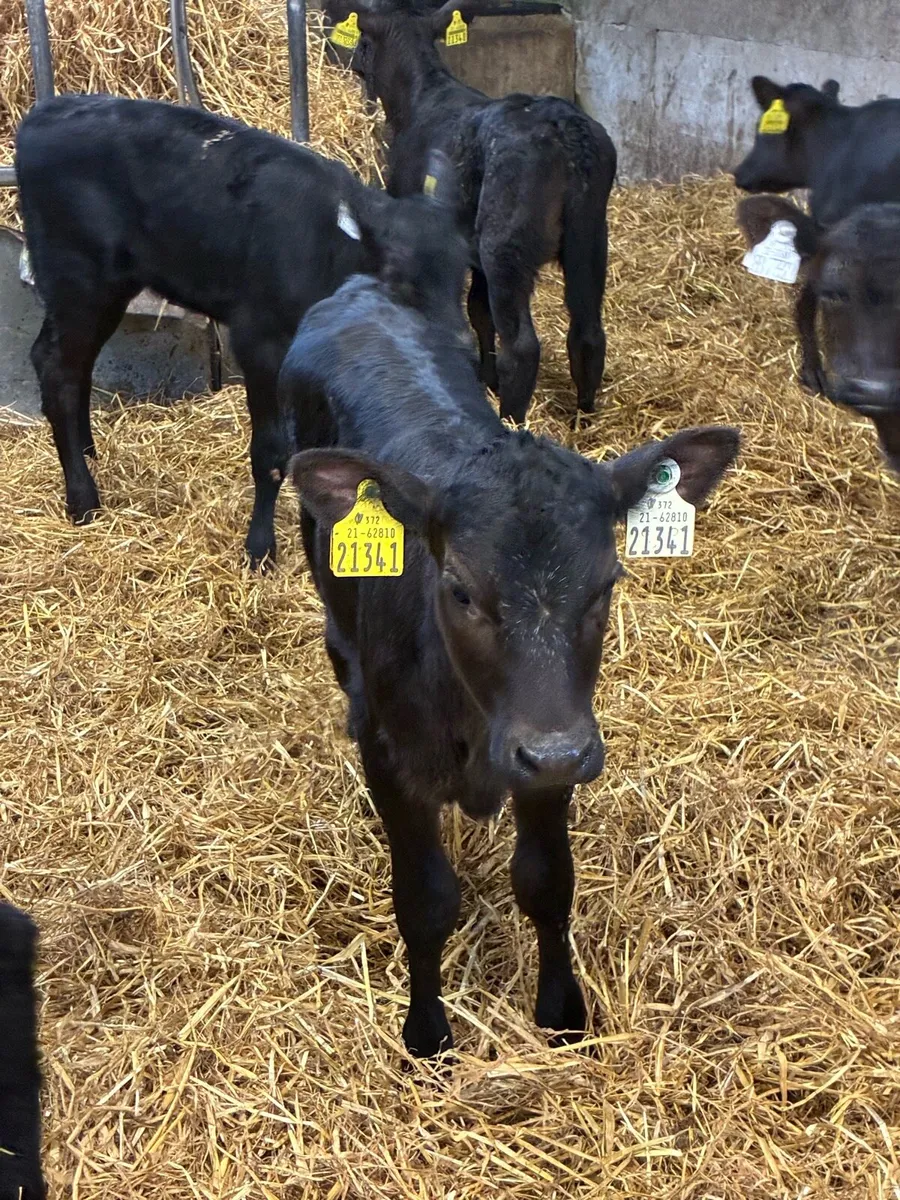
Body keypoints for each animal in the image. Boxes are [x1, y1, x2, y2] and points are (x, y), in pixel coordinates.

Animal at [15, 93, 429, 568]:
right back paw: (83, 500)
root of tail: (47, 111)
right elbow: (271, 450)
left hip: (110, 289)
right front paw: (260, 549)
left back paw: (88, 454)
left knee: (74, 367)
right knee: (56, 368)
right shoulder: (260, 340)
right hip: (78, 280)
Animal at [280, 154, 741, 1057]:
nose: (554, 750)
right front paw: (426, 1034)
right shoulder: (398, 759)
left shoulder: (554, 745)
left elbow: (547, 883)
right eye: (460, 588)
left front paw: (562, 1011)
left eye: (606, 584)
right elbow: (425, 899)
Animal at [326, 0, 617, 425]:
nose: (356, 65)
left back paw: (511, 419)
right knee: (588, 331)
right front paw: (485, 377)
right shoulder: (472, 250)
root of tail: (563, 126)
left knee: (522, 347)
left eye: (363, 43)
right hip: (590, 238)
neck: (423, 95)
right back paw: (585, 416)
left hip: (505, 244)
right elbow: (479, 312)